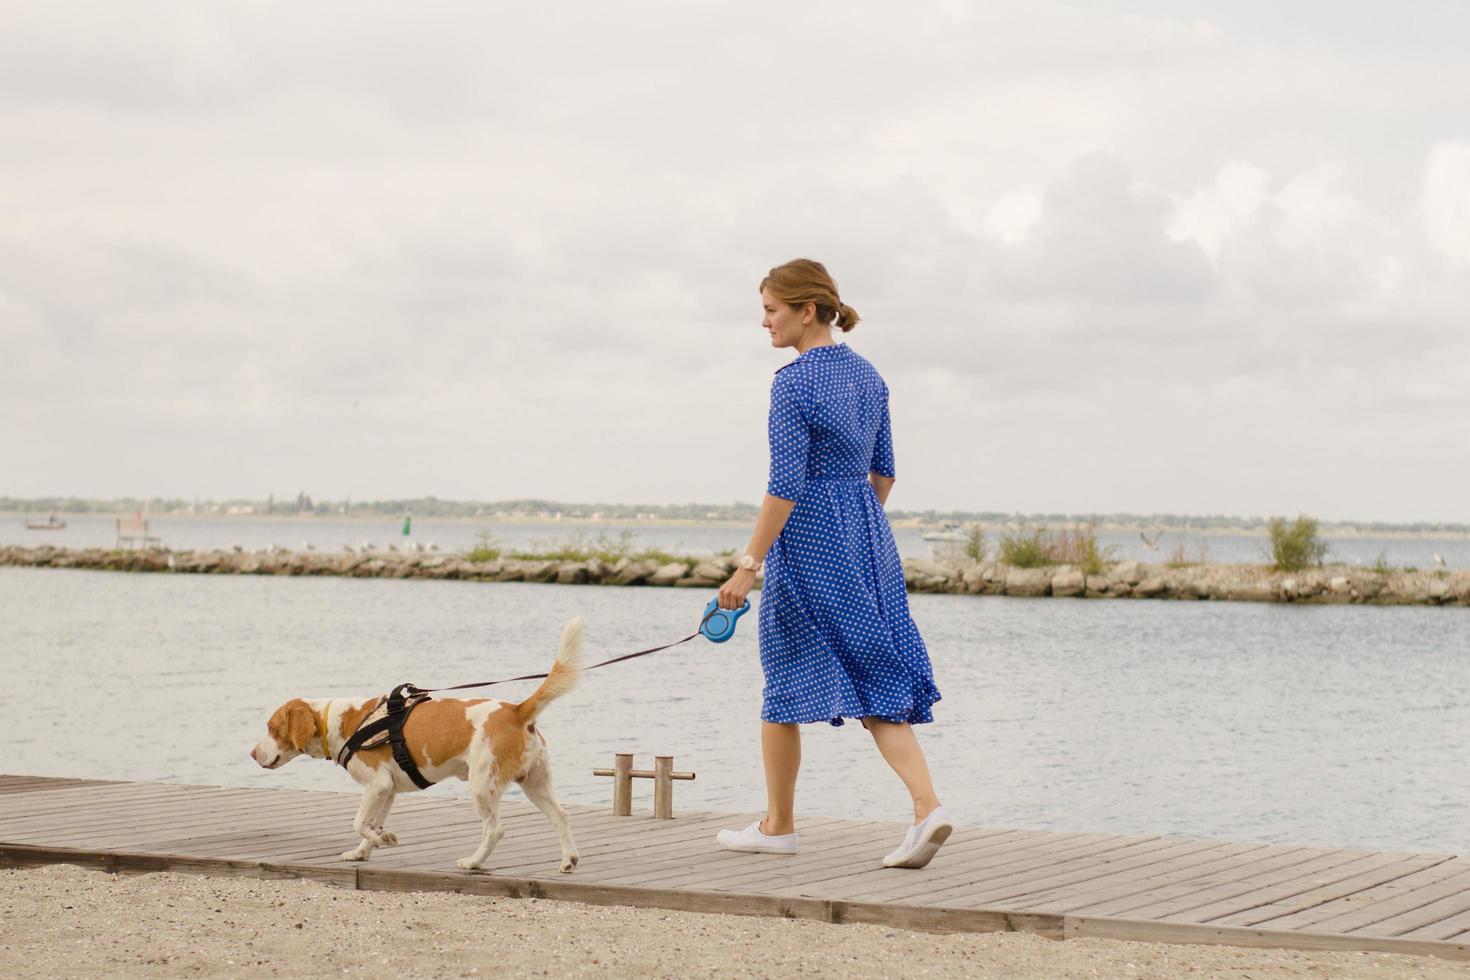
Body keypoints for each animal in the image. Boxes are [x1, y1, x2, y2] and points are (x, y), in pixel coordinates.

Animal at [246, 620, 579, 875]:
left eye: (270, 728)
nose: (251, 753)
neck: (342, 720)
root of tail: (516, 710)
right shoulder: (387, 790)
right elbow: (370, 824)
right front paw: (363, 850)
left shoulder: (377, 785)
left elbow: (358, 822)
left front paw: (383, 839)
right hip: (535, 783)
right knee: (562, 816)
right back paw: (567, 860)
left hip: (482, 786)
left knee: (494, 829)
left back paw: (473, 862)